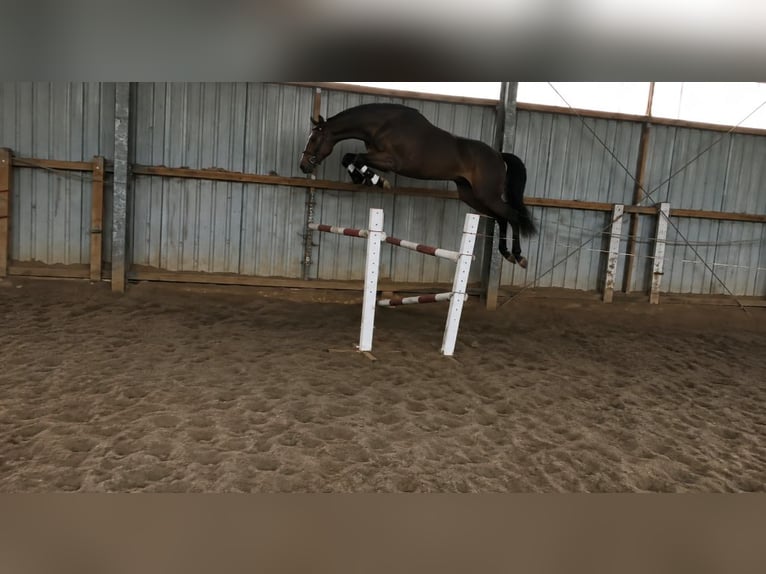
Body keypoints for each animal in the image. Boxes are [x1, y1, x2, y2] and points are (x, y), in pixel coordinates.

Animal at [299, 103, 536, 267]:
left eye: (314, 139)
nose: (303, 166)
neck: (382, 126)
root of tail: (498, 155)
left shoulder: (391, 162)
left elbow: (356, 158)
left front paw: (377, 181)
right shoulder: (376, 156)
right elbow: (349, 157)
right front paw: (362, 178)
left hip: (487, 195)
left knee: (512, 216)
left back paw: (518, 256)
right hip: (471, 196)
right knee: (502, 218)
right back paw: (506, 253)